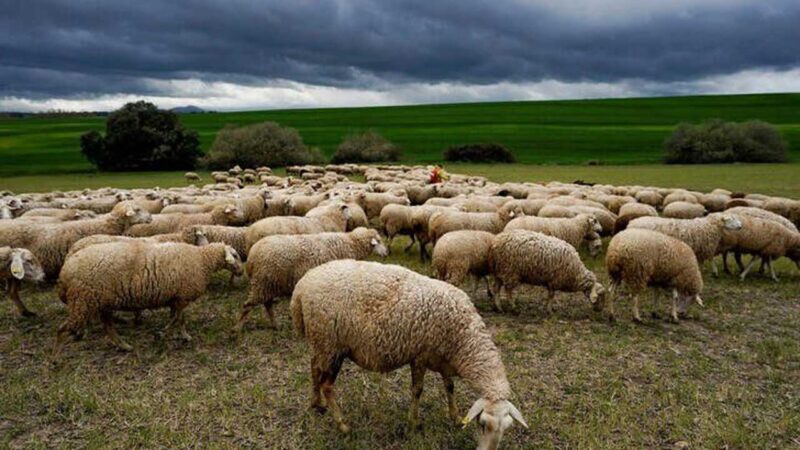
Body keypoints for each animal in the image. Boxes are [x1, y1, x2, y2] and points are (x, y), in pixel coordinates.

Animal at [54, 242, 243, 355]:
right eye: (235, 255)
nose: (242, 271)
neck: (202, 260)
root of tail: (64, 272)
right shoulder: (181, 298)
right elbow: (175, 320)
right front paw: (161, 334)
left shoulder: (177, 298)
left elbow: (180, 319)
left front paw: (183, 336)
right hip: (83, 300)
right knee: (62, 329)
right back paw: (55, 358)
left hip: (99, 302)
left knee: (109, 328)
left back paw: (124, 346)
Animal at [235, 228, 388, 332]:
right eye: (379, 241)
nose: (386, 253)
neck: (351, 243)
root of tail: (252, 255)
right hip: (263, 282)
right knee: (248, 305)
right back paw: (237, 329)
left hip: (268, 283)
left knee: (267, 304)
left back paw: (276, 325)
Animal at [290, 259, 527, 446]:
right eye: (483, 424)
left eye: (506, 428)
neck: (463, 339)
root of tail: (301, 288)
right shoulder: (420, 356)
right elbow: (417, 390)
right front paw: (413, 423)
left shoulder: (443, 359)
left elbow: (450, 387)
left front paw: (455, 417)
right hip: (332, 346)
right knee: (327, 385)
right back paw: (342, 425)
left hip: (321, 343)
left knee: (314, 368)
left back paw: (316, 403)